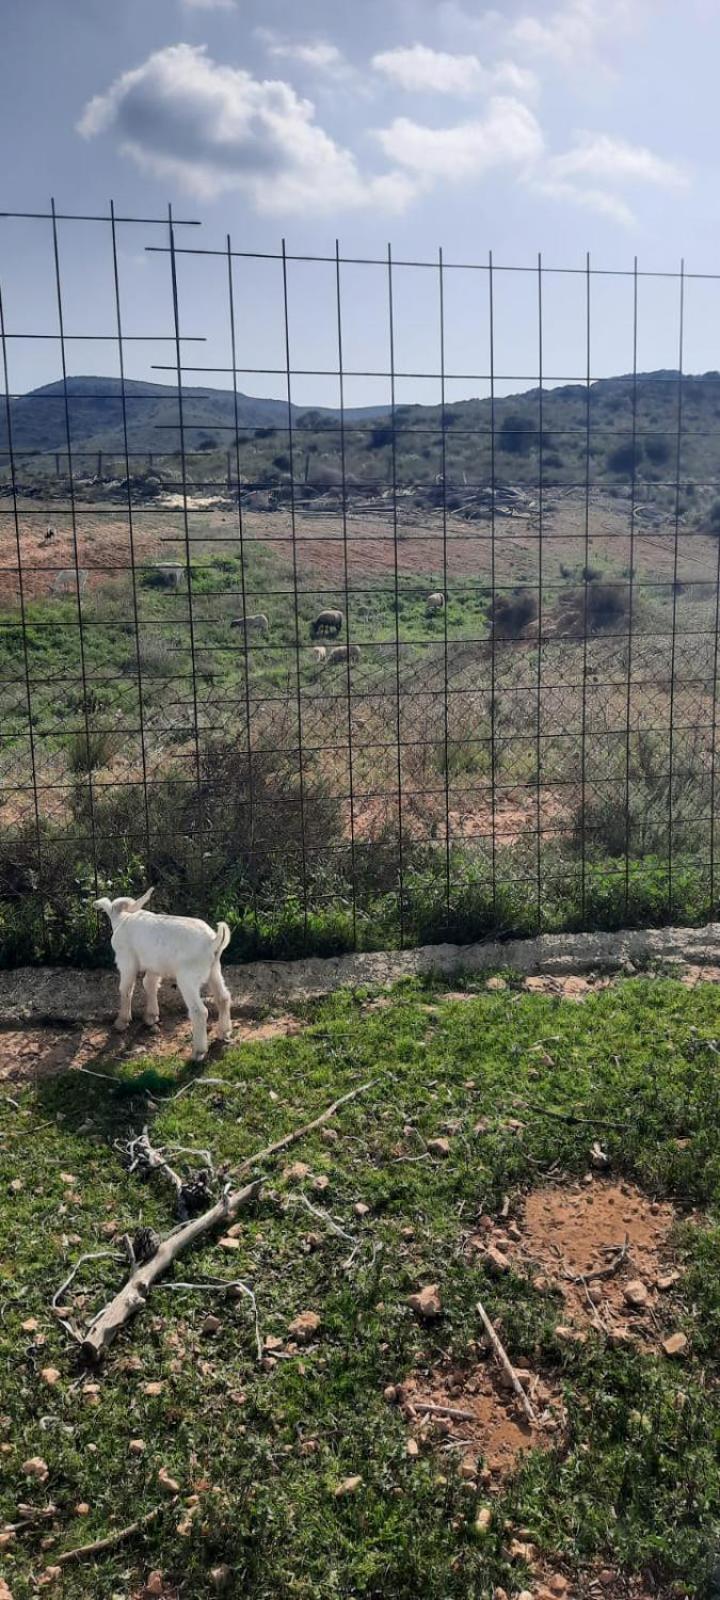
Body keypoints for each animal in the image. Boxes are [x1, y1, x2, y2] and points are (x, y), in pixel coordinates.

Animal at [94, 889, 232, 1062]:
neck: (122, 920)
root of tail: (213, 942)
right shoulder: (154, 965)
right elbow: (149, 984)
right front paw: (151, 1016)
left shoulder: (127, 962)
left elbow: (126, 989)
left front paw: (122, 1022)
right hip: (214, 970)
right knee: (223, 998)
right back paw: (224, 1032)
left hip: (187, 978)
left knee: (199, 1012)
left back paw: (198, 1052)